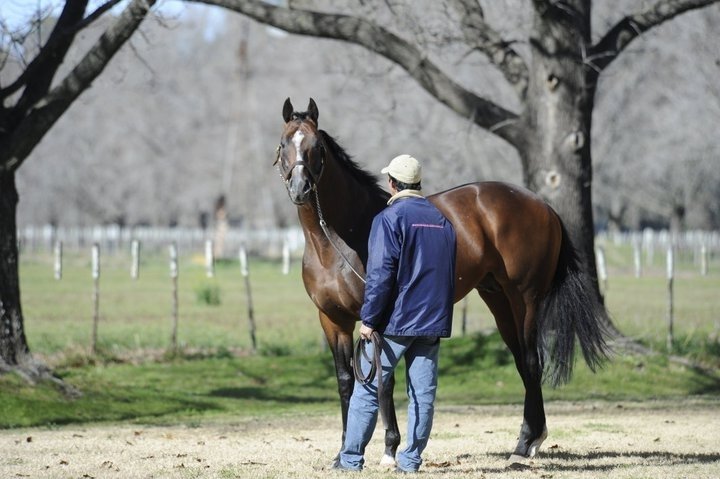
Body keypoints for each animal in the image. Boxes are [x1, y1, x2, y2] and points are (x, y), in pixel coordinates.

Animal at [274, 98, 611, 465]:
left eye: (316, 146)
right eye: (283, 144)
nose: (300, 189)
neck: (340, 238)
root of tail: (543, 206)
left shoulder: (378, 318)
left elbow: (384, 380)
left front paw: (390, 449)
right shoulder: (333, 320)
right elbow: (346, 380)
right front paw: (342, 453)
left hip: (526, 299)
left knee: (533, 361)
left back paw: (524, 447)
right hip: (498, 299)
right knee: (523, 361)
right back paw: (530, 439)